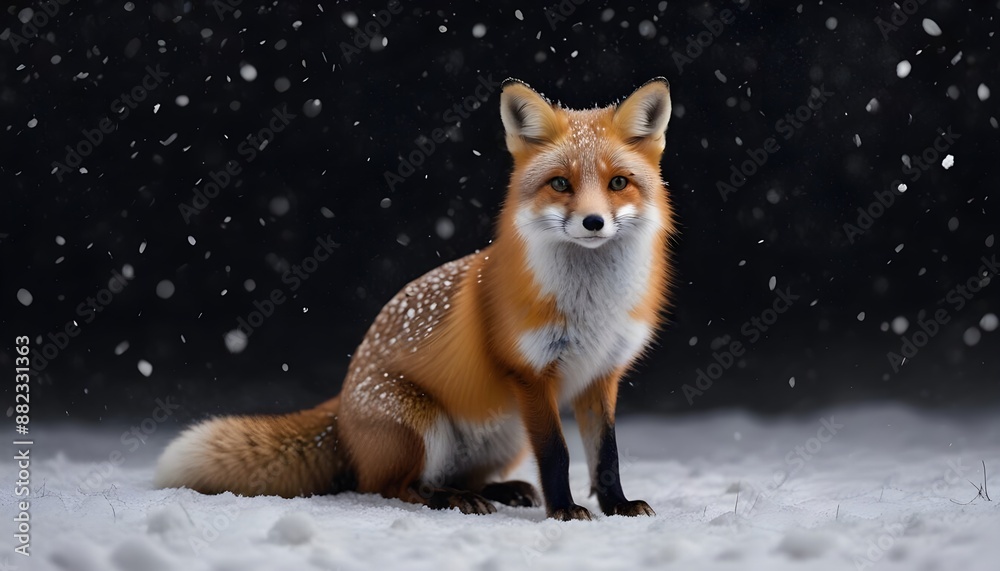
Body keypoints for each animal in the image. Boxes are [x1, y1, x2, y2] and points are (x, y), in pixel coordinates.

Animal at [155, 77, 676, 520]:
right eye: (561, 184)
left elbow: (606, 454)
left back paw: (497, 490)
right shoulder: (529, 374)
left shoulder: (601, 375)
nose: (593, 222)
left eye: (617, 183)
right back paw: (451, 498)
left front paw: (617, 505)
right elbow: (557, 453)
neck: (592, 308)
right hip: (426, 424)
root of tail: (340, 405)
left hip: (504, 434)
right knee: (392, 487)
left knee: (458, 476)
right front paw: (564, 510)